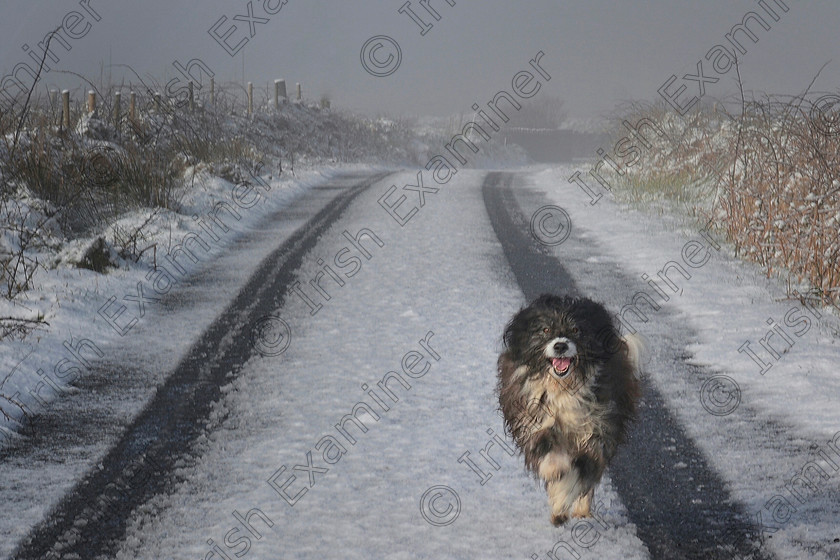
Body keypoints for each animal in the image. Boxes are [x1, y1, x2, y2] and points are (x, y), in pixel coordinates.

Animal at [496, 294, 640, 524]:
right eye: (545, 330)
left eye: (576, 329)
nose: (560, 346)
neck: (564, 387)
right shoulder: (535, 421)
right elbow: (548, 452)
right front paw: (554, 471)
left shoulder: (596, 432)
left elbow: (581, 472)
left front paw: (563, 500)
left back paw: (581, 511)